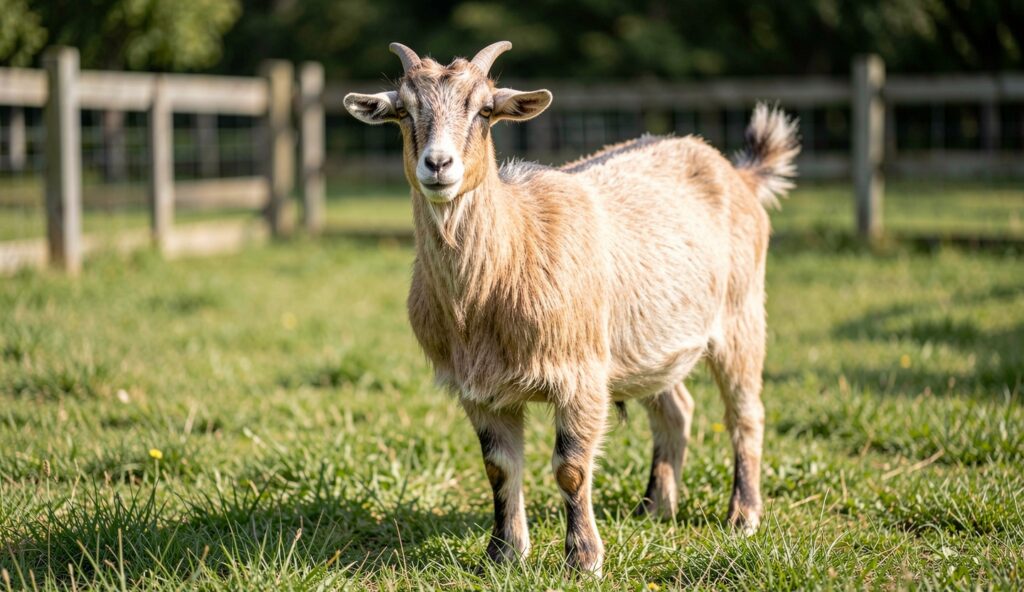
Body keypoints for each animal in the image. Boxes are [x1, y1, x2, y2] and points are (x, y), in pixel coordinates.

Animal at [343, 41, 799, 575]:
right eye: (404, 111)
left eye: (484, 110)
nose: (438, 165)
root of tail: (739, 175)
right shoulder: (480, 390)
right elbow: (498, 468)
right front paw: (503, 554)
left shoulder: (581, 374)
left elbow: (571, 469)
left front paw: (583, 558)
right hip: (646, 345)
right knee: (677, 410)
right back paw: (655, 508)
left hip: (740, 315)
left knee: (745, 413)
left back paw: (743, 516)